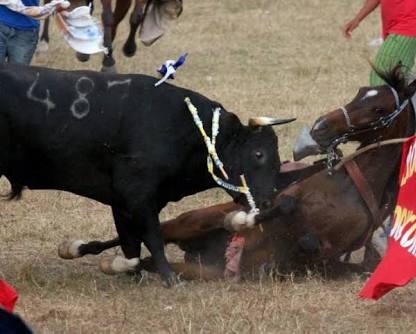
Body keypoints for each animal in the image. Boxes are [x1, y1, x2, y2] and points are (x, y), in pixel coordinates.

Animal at [0, 64, 292, 286]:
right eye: (258, 154)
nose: (267, 202)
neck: (189, 130)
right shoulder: (138, 195)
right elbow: (153, 238)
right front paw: (171, 280)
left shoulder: (125, 203)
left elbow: (132, 242)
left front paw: (129, 272)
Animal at [57, 66, 416, 280]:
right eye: (360, 93)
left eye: (378, 107)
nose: (322, 126)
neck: (353, 186)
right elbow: (282, 207)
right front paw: (240, 220)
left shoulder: (325, 254)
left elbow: (310, 242)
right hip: (188, 222)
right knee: (142, 235)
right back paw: (80, 249)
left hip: (203, 270)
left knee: (147, 259)